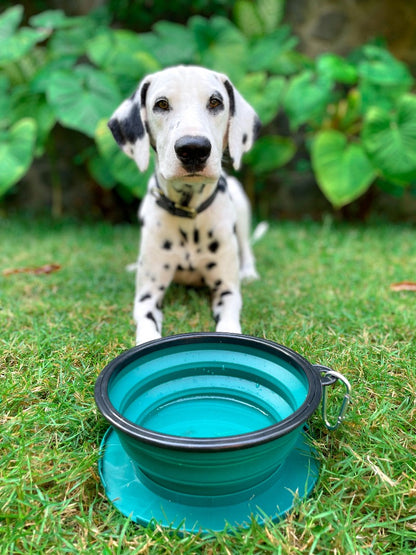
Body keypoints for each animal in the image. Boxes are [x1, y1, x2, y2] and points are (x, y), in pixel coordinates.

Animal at [109, 64, 262, 344]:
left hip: (241, 203)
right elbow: (146, 324)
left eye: (215, 102)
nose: (193, 148)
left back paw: (249, 272)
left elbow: (229, 321)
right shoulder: (147, 296)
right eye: (161, 104)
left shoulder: (227, 291)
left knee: (246, 248)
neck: (189, 214)